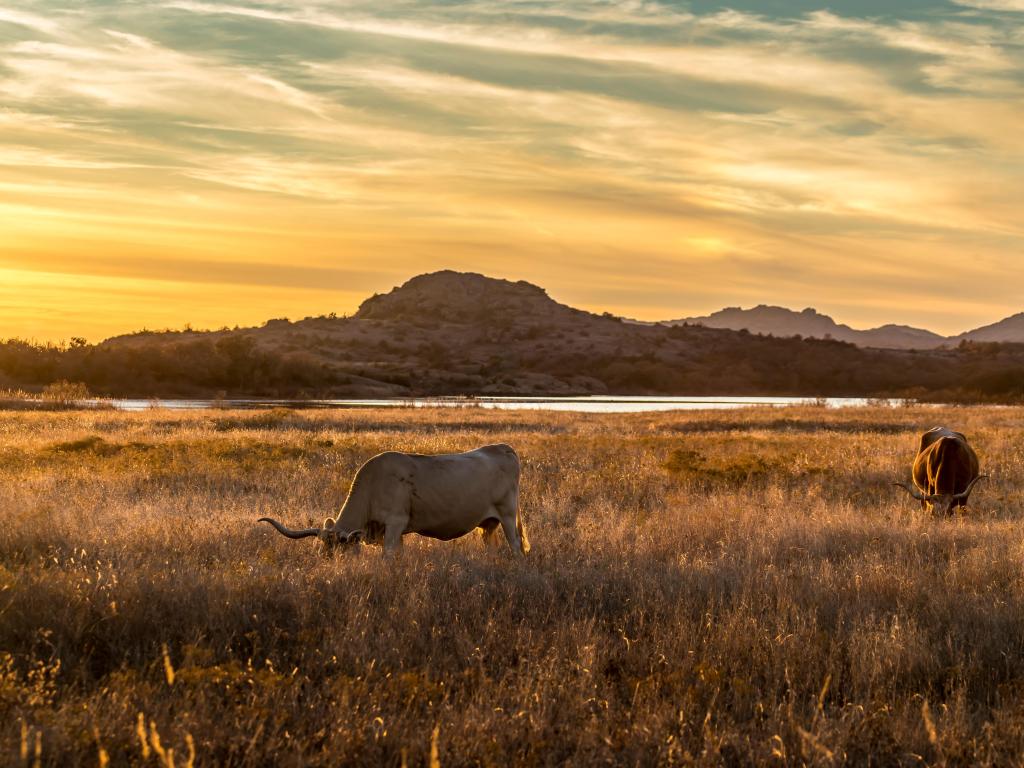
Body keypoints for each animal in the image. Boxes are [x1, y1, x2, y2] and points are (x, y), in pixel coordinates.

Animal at [258, 442, 528, 557]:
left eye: (339, 552)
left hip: (507, 515)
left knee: (515, 545)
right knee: (490, 544)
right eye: (321, 550)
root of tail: (502, 448)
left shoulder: (395, 523)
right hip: (488, 524)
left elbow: (388, 556)